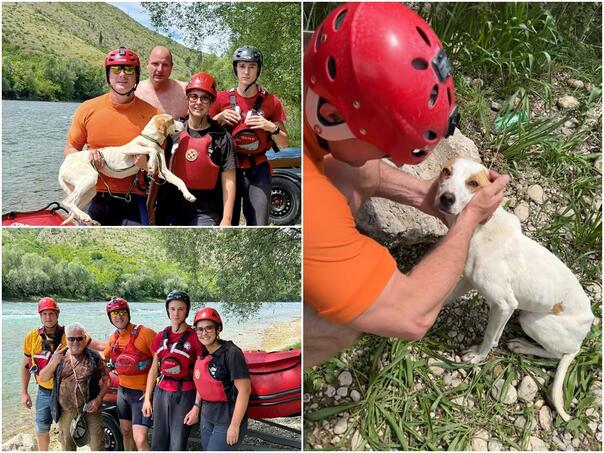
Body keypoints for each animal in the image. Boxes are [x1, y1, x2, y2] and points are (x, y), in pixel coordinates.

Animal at [58, 113, 195, 224]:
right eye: (172, 120)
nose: (183, 123)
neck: (151, 140)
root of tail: (64, 165)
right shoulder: (129, 150)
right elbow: (150, 151)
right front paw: (150, 163)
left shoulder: (163, 172)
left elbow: (180, 181)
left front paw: (188, 195)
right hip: (89, 180)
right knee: (68, 202)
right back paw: (85, 216)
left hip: (90, 190)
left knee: (72, 209)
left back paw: (89, 220)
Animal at [434, 156, 596, 420]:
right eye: (446, 171)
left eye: (474, 183)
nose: (446, 198)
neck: (482, 227)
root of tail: (587, 327)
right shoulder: (467, 280)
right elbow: (443, 297)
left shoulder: (504, 304)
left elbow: (490, 337)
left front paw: (476, 357)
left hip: (532, 321)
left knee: (557, 354)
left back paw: (523, 346)